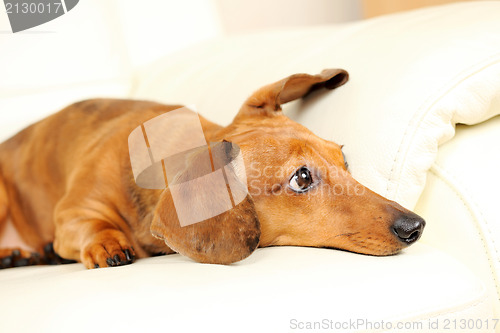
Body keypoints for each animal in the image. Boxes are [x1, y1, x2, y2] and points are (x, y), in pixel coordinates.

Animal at [0, 68, 424, 268]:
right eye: (301, 178)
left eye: (344, 159)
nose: (416, 226)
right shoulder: (71, 213)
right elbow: (91, 226)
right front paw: (107, 243)